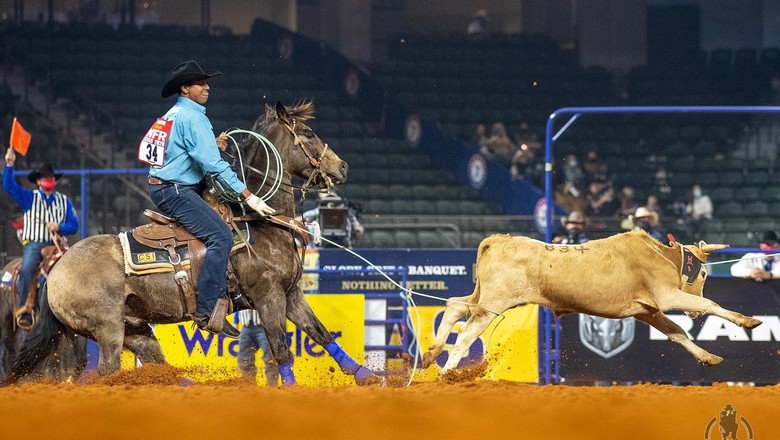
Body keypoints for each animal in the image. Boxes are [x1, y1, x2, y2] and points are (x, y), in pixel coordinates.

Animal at [6, 103, 380, 384]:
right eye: (309, 134)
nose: (342, 166)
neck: (257, 221)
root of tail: (55, 272)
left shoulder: (291, 293)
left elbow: (321, 334)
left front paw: (367, 376)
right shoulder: (268, 295)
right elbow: (281, 350)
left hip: (136, 331)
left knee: (157, 370)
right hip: (108, 331)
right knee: (106, 374)